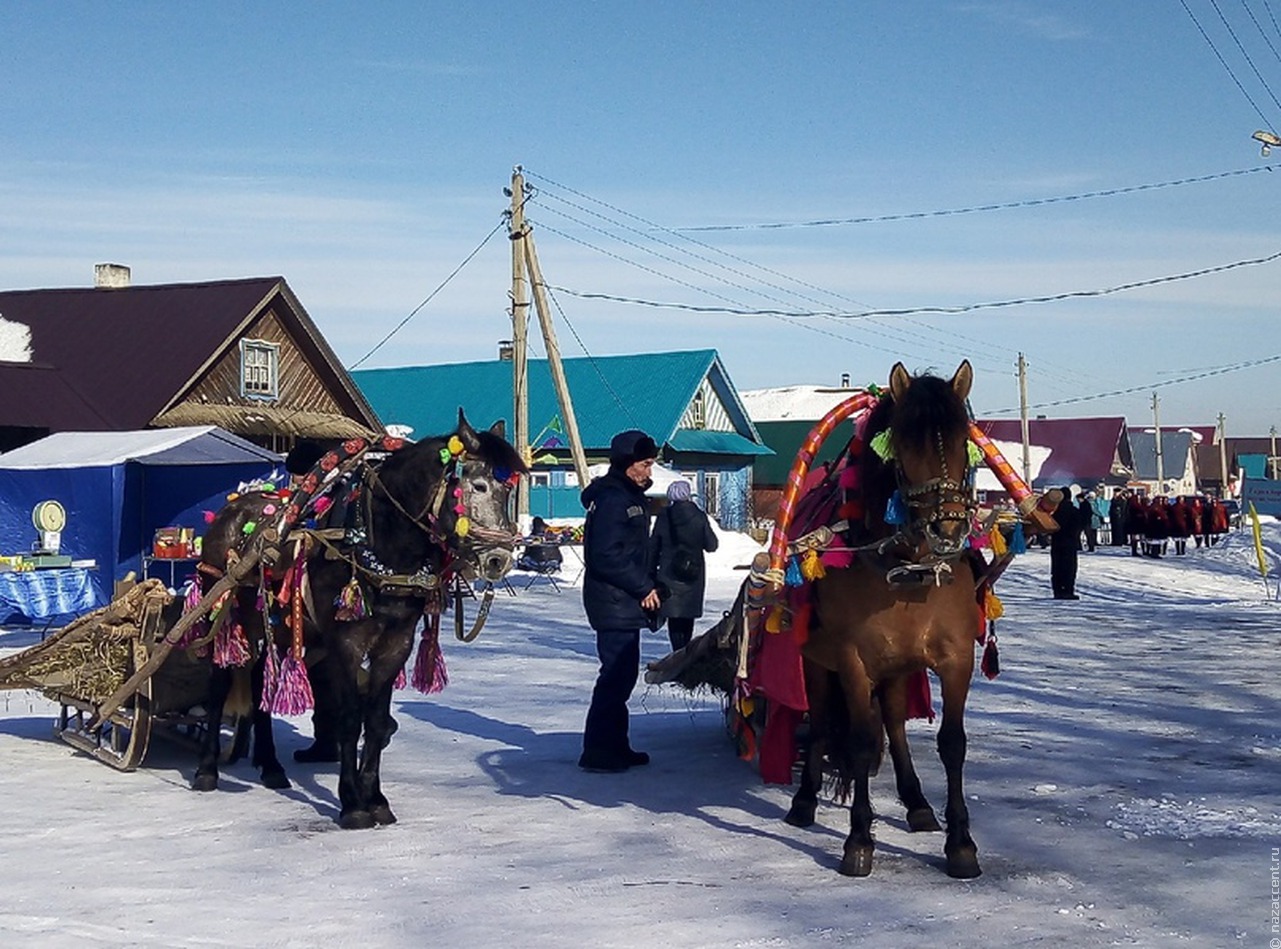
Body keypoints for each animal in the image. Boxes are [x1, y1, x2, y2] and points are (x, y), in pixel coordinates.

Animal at [778, 358, 978, 876]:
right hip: (818, 661)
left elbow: (952, 742)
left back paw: (917, 803)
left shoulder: (957, 659)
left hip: (897, 667)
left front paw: (961, 842)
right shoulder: (852, 661)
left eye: (961, 437)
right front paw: (858, 840)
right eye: (905, 443)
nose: (948, 528)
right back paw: (804, 800)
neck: (908, 572)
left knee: (894, 721)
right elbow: (860, 742)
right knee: (825, 722)